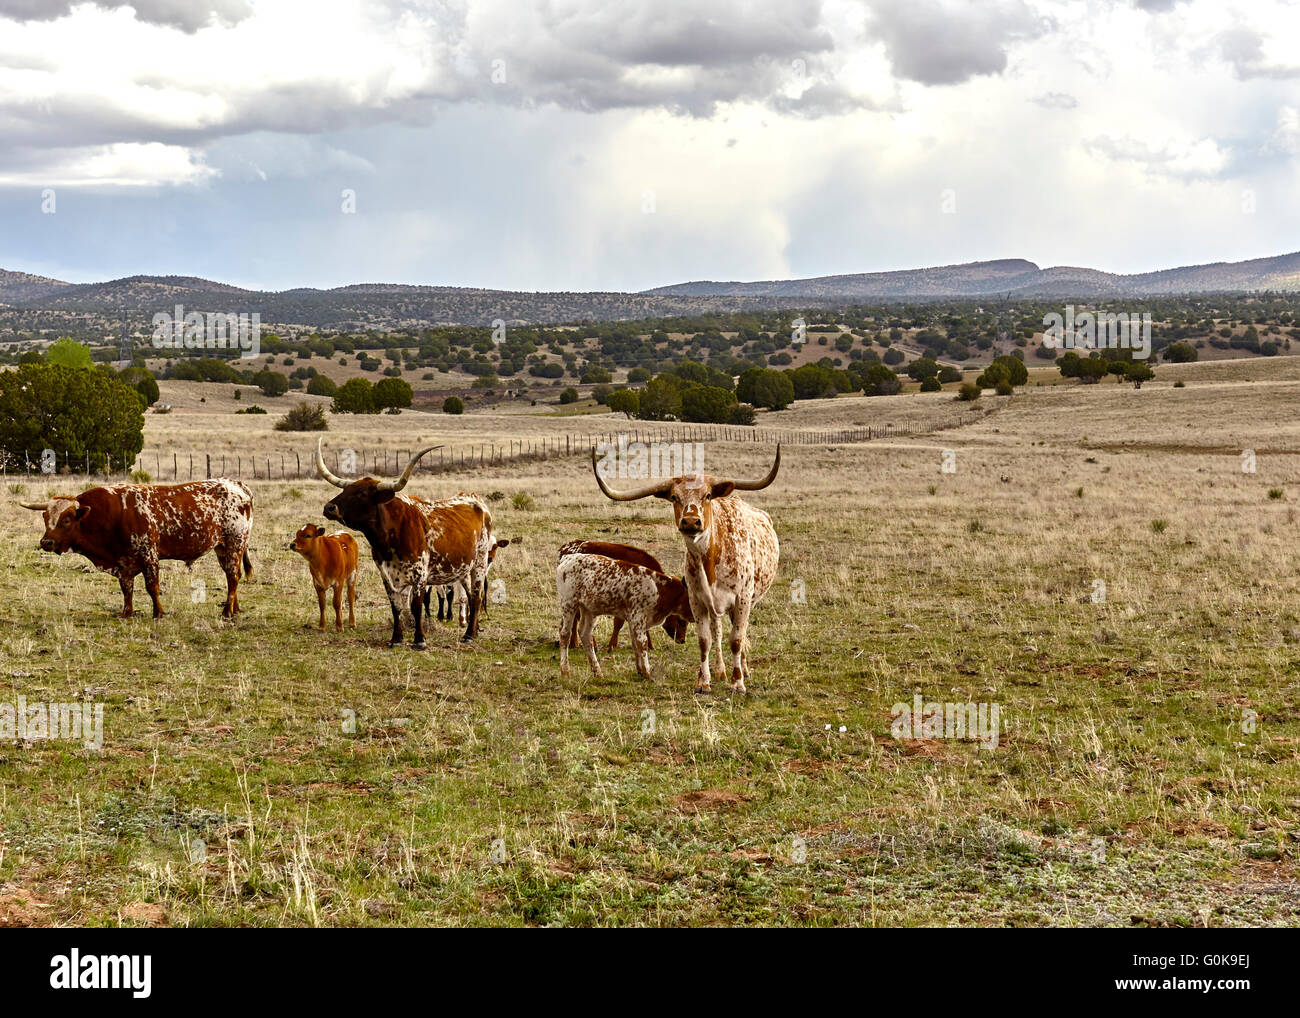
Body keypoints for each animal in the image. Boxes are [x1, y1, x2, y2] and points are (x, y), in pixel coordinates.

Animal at [315, 442, 491, 650]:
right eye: (344, 490)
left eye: (362, 494)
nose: (329, 508)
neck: (392, 535)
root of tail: (476, 500)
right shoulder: (386, 575)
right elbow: (396, 606)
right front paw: (396, 638)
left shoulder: (420, 575)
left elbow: (416, 607)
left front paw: (419, 640)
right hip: (463, 568)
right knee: (471, 596)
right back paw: (474, 630)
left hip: (479, 563)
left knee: (477, 596)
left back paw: (469, 634)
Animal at [553, 540, 691, 652]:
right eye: (681, 621)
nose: (682, 639)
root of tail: (565, 550)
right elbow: (618, 624)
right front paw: (612, 646)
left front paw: (650, 645)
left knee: (573, 619)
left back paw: (574, 644)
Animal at [592, 449, 780, 696]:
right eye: (674, 497)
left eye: (708, 495)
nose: (691, 522)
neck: (711, 559)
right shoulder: (697, 600)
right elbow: (705, 640)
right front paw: (704, 682)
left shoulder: (742, 599)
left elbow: (737, 640)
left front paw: (738, 682)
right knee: (718, 631)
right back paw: (720, 670)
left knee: (739, 633)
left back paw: (743, 669)